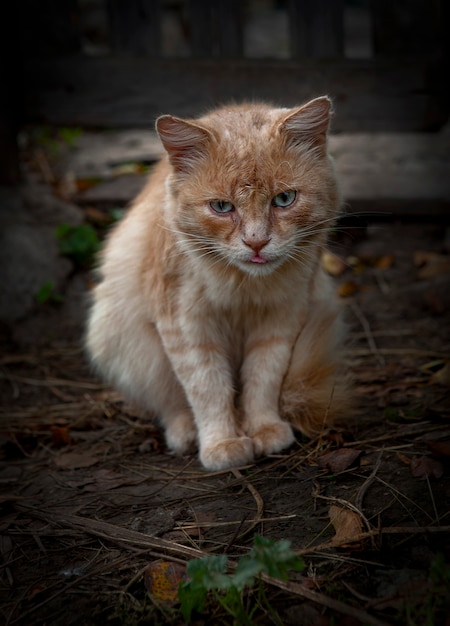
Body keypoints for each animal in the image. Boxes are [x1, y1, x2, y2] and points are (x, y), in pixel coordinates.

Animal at [86, 96, 350, 468]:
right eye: (222, 207)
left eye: (284, 200)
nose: (256, 243)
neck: (243, 286)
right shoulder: (188, 328)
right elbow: (208, 389)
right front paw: (222, 443)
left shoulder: (280, 321)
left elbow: (262, 380)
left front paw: (264, 429)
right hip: (125, 342)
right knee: (172, 405)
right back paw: (186, 434)